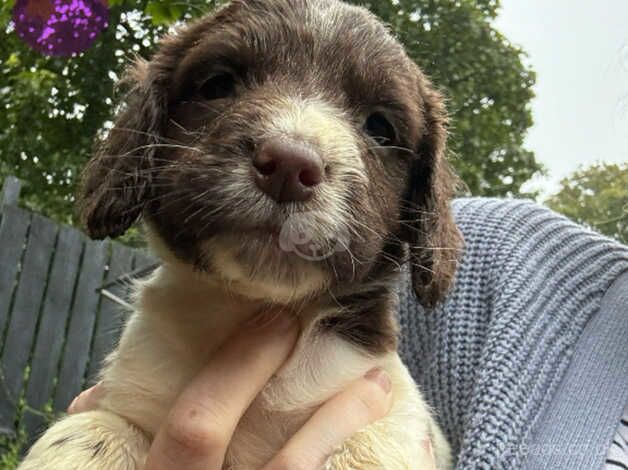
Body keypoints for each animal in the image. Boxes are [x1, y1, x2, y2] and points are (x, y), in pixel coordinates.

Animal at [19, 1, 462, 468]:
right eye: (218, 85)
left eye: (379, 127)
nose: (289, 165)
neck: (247, 306)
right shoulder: (132, 393)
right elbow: (96, 429)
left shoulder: (387, 400)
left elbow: (370, 443)